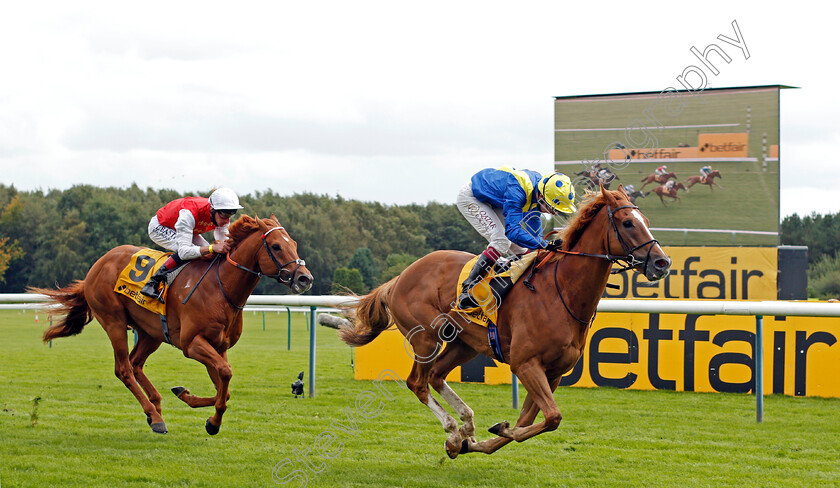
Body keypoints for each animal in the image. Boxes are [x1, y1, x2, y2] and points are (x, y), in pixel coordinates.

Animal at [29, 214, 314, 434]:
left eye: (294, 243)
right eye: (276, 247)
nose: (304, 278)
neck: (221, 288)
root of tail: (98, 264)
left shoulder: (218, 347)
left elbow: (224, 386)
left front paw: (190, 400)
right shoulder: (192, 344)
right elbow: (225, 374)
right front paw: (213, 422)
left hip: (150, 332)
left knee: (135, 363)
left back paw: (155, 406)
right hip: (114, 322)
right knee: (124, 369)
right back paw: (155, 417)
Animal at [334, 183, 668, 458]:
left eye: (646, 221)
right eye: (627, 223)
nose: (662, 262)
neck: (561, 293)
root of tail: (400, 277)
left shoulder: (553, 373)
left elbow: (532, 421)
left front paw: (478, 441)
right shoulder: (525, 363)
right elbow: (550, 418)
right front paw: (490, 431)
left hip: (464, 343)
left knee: (436, 377)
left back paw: (465, 427)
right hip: (426, 338)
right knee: (418, 382)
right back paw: (453, 431)